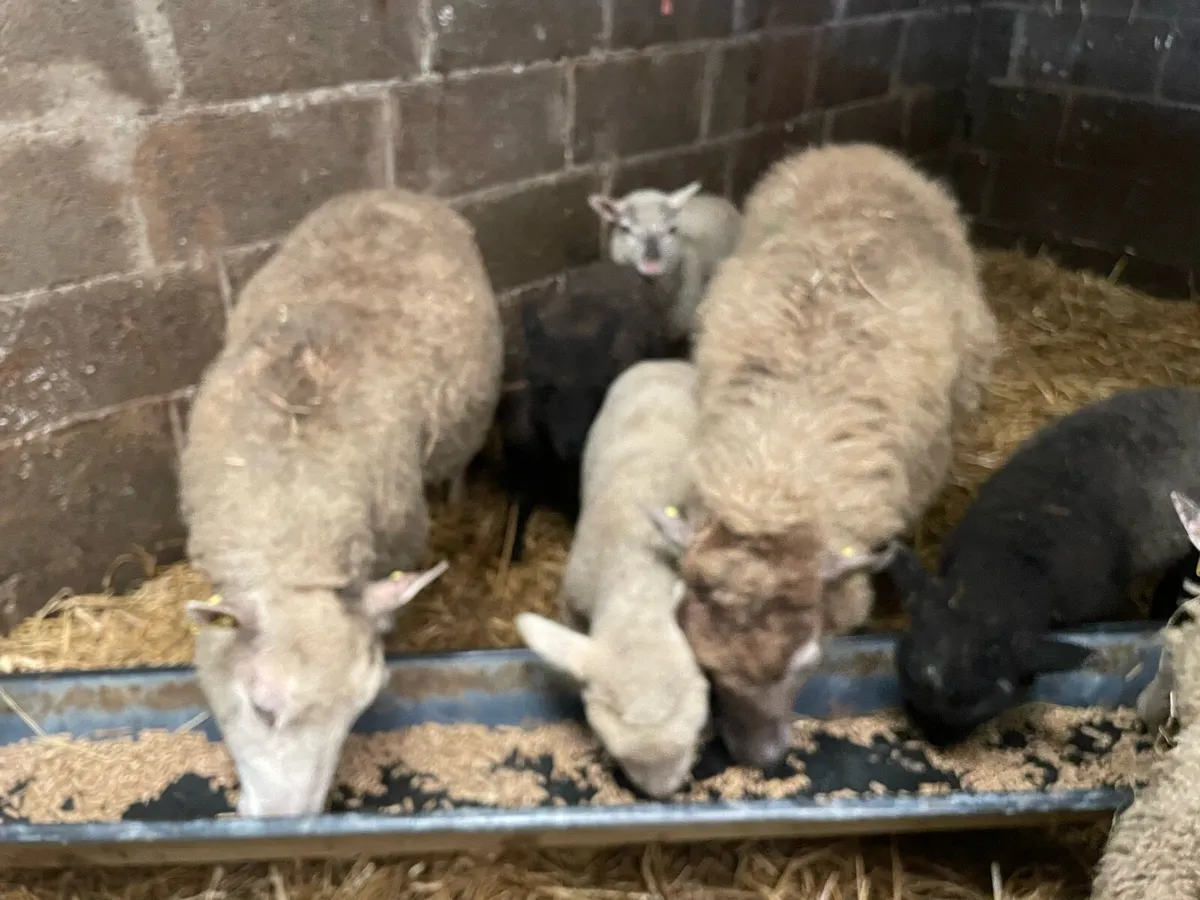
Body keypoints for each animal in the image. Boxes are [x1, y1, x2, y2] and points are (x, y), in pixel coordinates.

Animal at [495, 261, 683, 561]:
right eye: (541, 384)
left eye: (600, 385)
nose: (573, 444)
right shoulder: (521, 474)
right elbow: (516, 514)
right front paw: (512, 547)